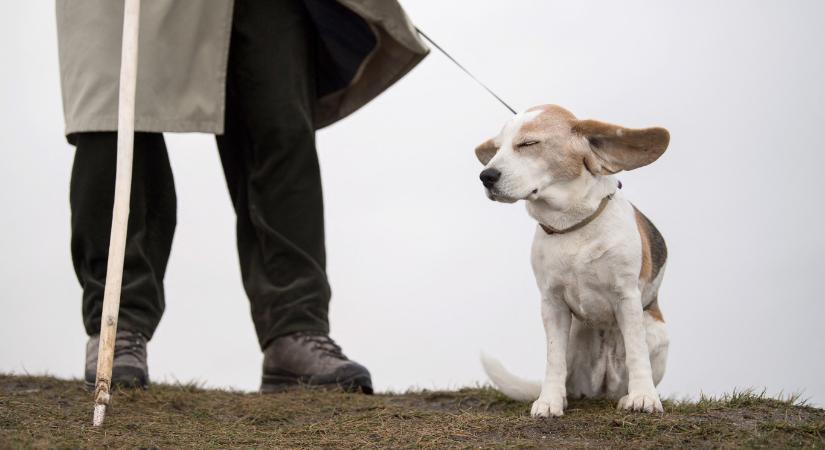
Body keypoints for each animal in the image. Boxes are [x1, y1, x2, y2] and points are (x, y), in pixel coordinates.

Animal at [476, 103, 668, 416]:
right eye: (496, 148)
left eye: (528, 143)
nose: (486, 176)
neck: (571, 224)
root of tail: (602, 389)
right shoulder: (551, 303)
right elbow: (553, 358)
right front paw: (549, 401)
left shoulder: (627, 297)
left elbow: (636, 352)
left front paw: (643, 397)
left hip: (657, 331)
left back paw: (627, 395)